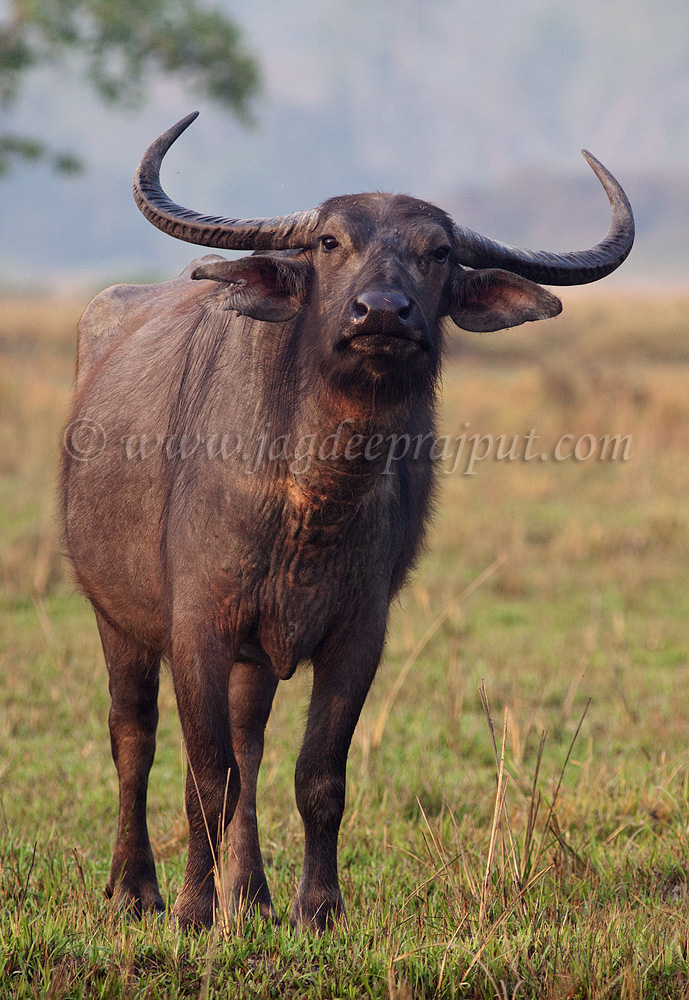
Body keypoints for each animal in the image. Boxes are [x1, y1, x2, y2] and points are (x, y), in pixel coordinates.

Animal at [61, 113, 633, 930]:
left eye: (439, 253)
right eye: (330, 242)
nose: (382, 313)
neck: (310, 502)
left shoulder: (358, 634)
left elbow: (316, 777)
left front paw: (317, 907)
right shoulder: (197, 626)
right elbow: (205, 775)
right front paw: (194, 909)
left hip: (251, 656)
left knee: (251, 744)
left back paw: (251, 895)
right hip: (116, 616)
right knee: (134, 736)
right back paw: (137, 889)